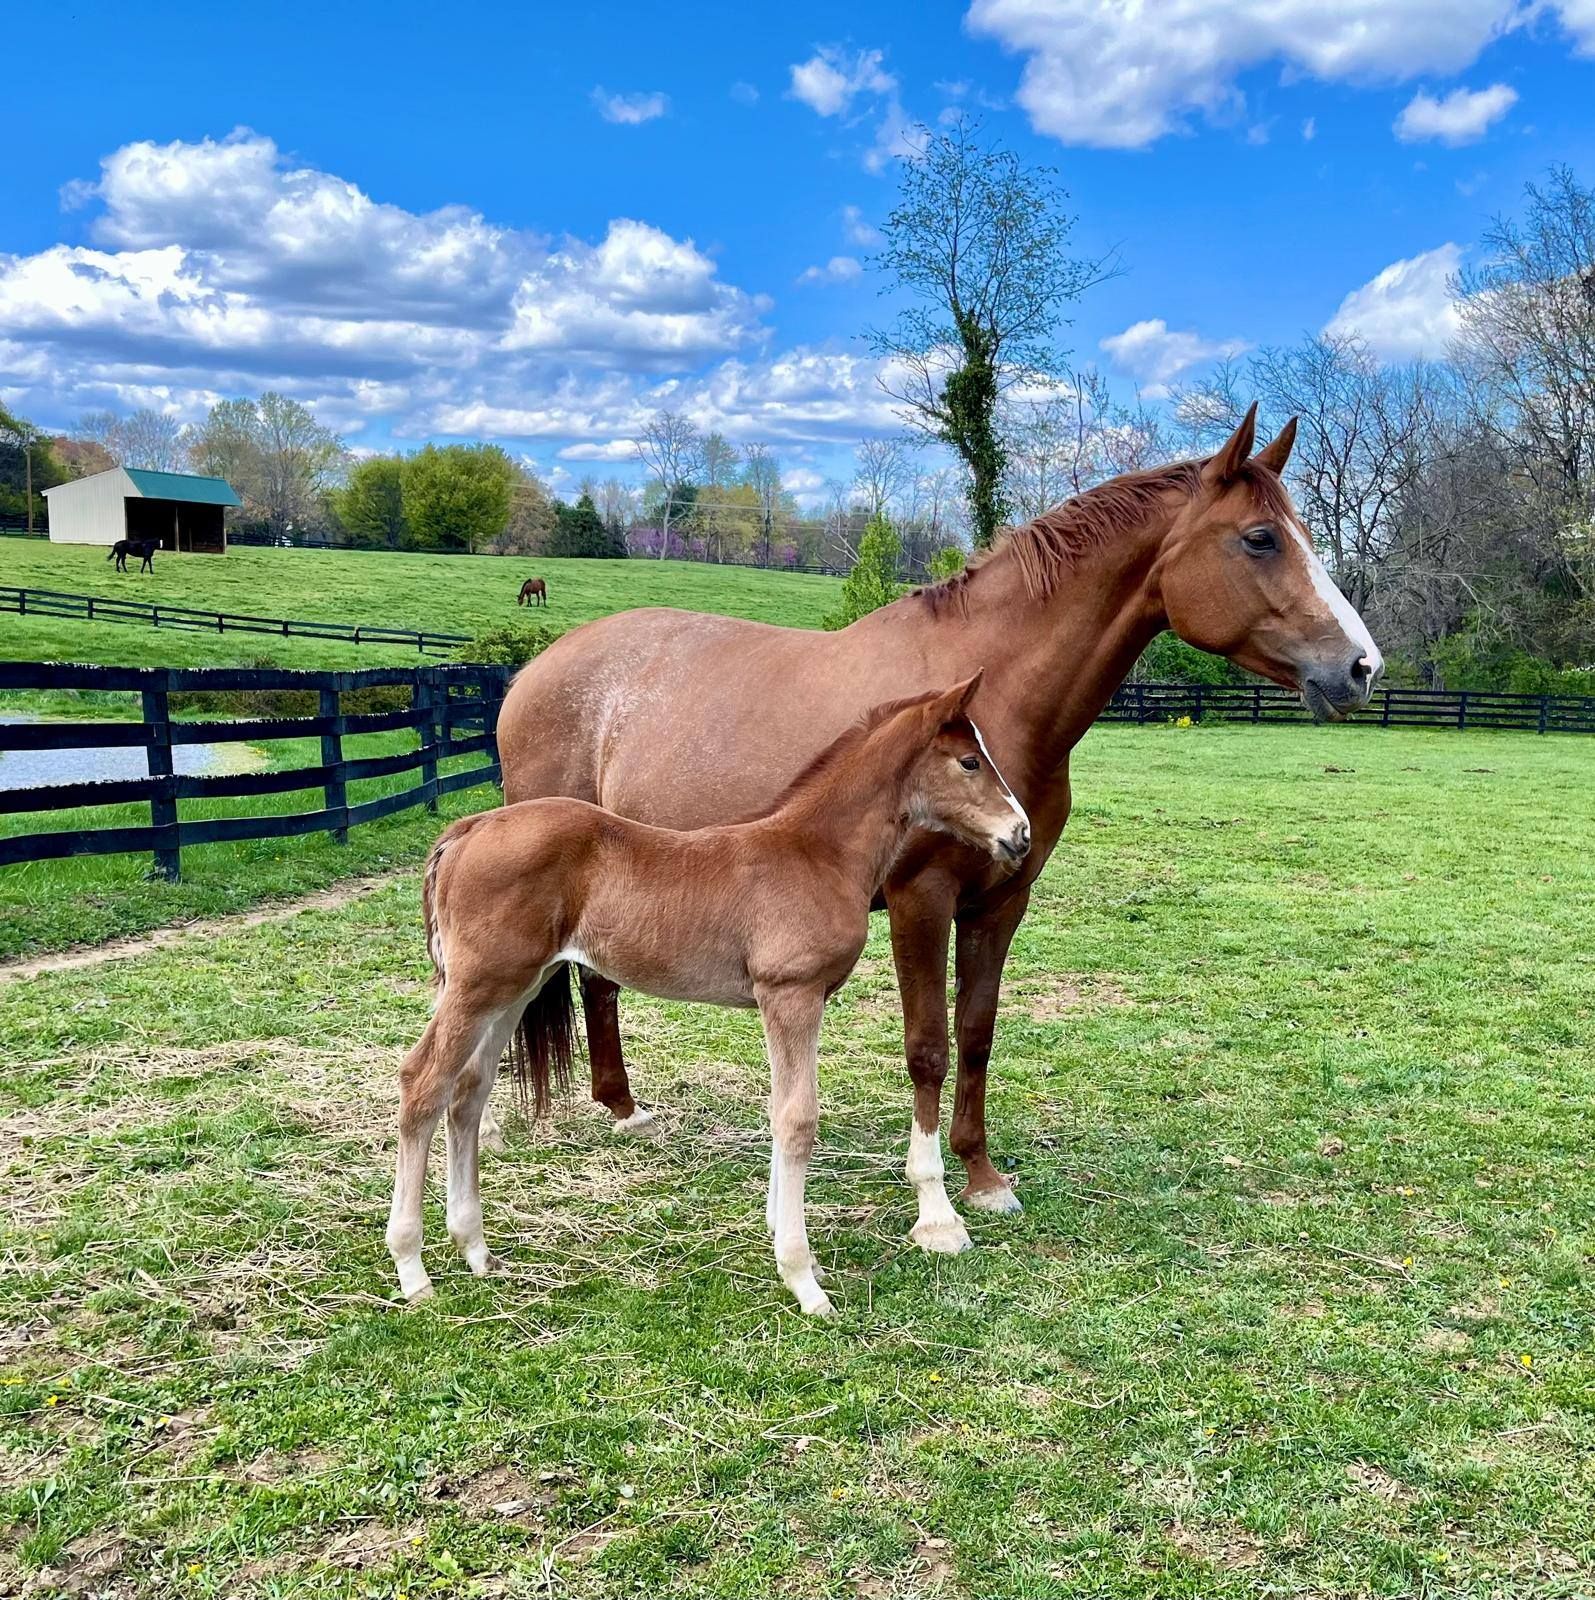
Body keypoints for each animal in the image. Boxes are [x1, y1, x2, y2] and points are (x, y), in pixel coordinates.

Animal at [386, 675, 1027, 1314]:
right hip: (480, 984)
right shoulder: (790, 992)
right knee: (423, 1083)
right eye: (970, 761)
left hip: (517, 985)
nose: (1020, 834)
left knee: (467, 1092)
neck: (816, 852)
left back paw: (476, 1250)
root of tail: (467, 829)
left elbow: (779, 1112)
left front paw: (790, 1247)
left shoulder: (792, 1000)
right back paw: (413, 1269)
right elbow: (798, 1120)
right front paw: (803, 1279)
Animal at [489, 406, 1383, 1250]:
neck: (990, 703)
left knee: (600, 980)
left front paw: (982, 1178)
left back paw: (623, 1108)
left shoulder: (1000, 901)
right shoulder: (921, 902)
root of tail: (535, 669)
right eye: (1260, 539)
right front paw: (934, 1212)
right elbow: (927, 1045)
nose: (1362, 668)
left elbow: (976, 1035)